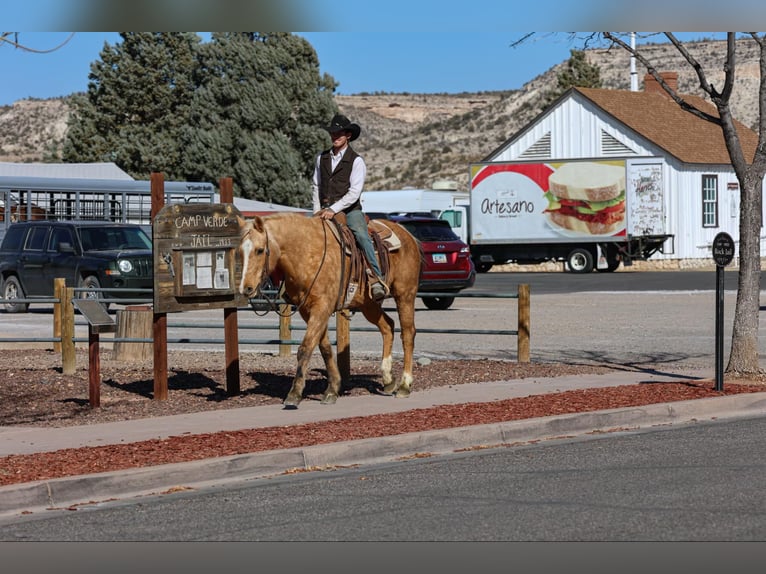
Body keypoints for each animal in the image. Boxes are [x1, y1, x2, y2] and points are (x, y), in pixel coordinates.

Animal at [238, 213, 424, 410]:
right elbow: (324, 348)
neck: (307, 252)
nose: (246, 288)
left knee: (408, 333)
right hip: (368, 304)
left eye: (259, 250)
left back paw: (404, 385)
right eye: (240, 252)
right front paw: (332, 389)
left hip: (405, 294)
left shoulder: (321, 308)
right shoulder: (308, 311)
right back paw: (388, 380)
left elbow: (305, 348)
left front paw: (294, 394)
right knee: (388, 326)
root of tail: (408, 235)